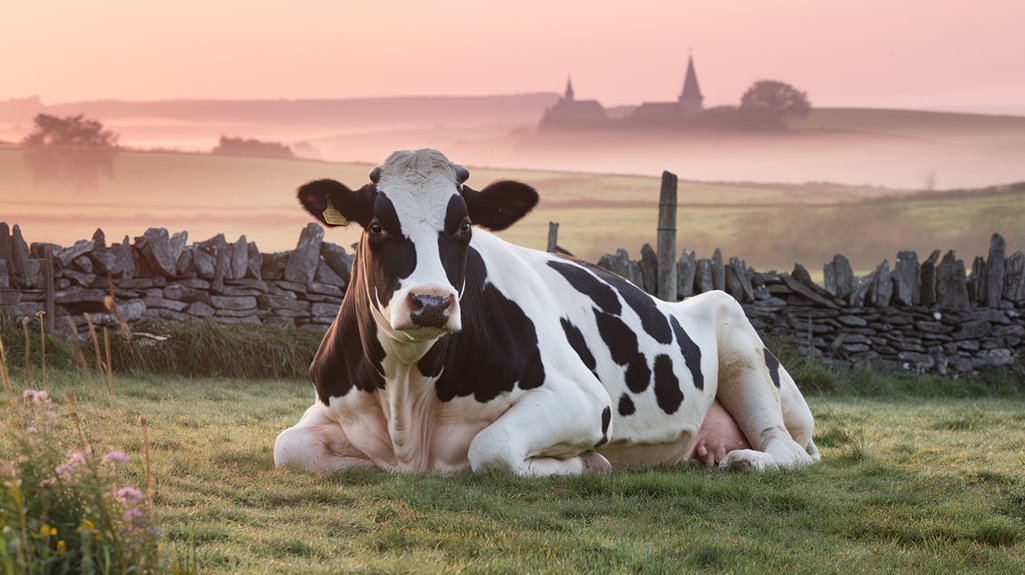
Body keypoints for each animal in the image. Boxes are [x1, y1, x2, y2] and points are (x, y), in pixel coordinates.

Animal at [272, 147, 815, 475]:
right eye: (377, 226)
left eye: (464, 226)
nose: (430, 302)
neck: (408, 399)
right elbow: (288, 447)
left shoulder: (584, 399)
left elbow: (490, 449)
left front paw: (588, 464)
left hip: (739, 336)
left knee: (788, 449)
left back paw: (744, 459)